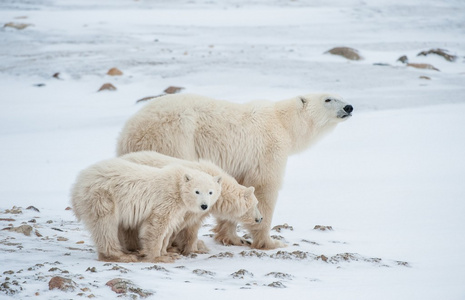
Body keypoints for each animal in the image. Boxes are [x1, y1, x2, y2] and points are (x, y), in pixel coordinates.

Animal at [70, 159, 221, 262]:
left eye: (210, 192)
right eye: (197, 191)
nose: (204, 206)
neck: (177, 185)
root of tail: (78, 182)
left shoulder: (177, 209)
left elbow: (168, 228)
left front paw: (168, 253)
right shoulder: (165, 200)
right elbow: (157, 225)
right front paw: (158, 257)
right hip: (102, 196)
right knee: (105, 226)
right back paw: (121, 256)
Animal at [118, 151, 260, 254]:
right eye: (256, 204)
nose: (260, 218)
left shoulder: (200, 209)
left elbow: (192, 227)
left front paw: (193, 249)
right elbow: (177, 225)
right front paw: (173, 248)